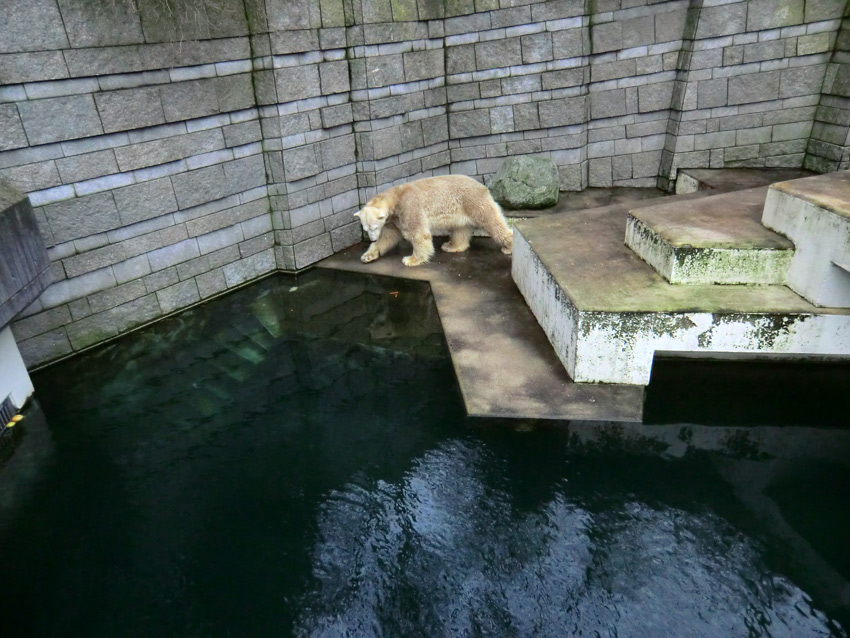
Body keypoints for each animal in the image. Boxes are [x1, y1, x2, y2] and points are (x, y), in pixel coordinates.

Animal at [352, 174, 510, 266]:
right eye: (366, 229)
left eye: (374, 227)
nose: (372, 238)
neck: (396, 197)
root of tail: (483, 186)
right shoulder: (393, 219)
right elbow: (387, 237)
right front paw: (367, 256)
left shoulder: (408, 207)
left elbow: (418, 234)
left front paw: (411, 259)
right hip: (461, 210)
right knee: (460, 229)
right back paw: (451, 246)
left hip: (473, 201)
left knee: (492, 221)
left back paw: (508, 246)